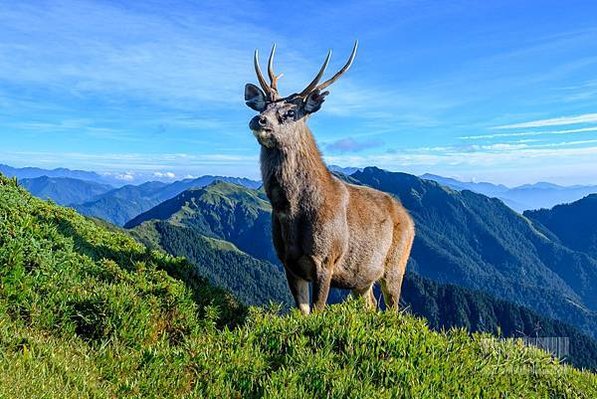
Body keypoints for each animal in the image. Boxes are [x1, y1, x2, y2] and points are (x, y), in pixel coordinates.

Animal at [244, 42, 412, 314]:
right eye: (263, 106)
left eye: (290, 112)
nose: (258, 119)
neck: (291, 211)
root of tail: (409, 218)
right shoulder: (288, 263)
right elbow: (303, 313)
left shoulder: (326, 259)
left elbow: (318, 312)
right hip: (362, 279)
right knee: (370, 304)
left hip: (397, 264)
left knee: (393, 309)